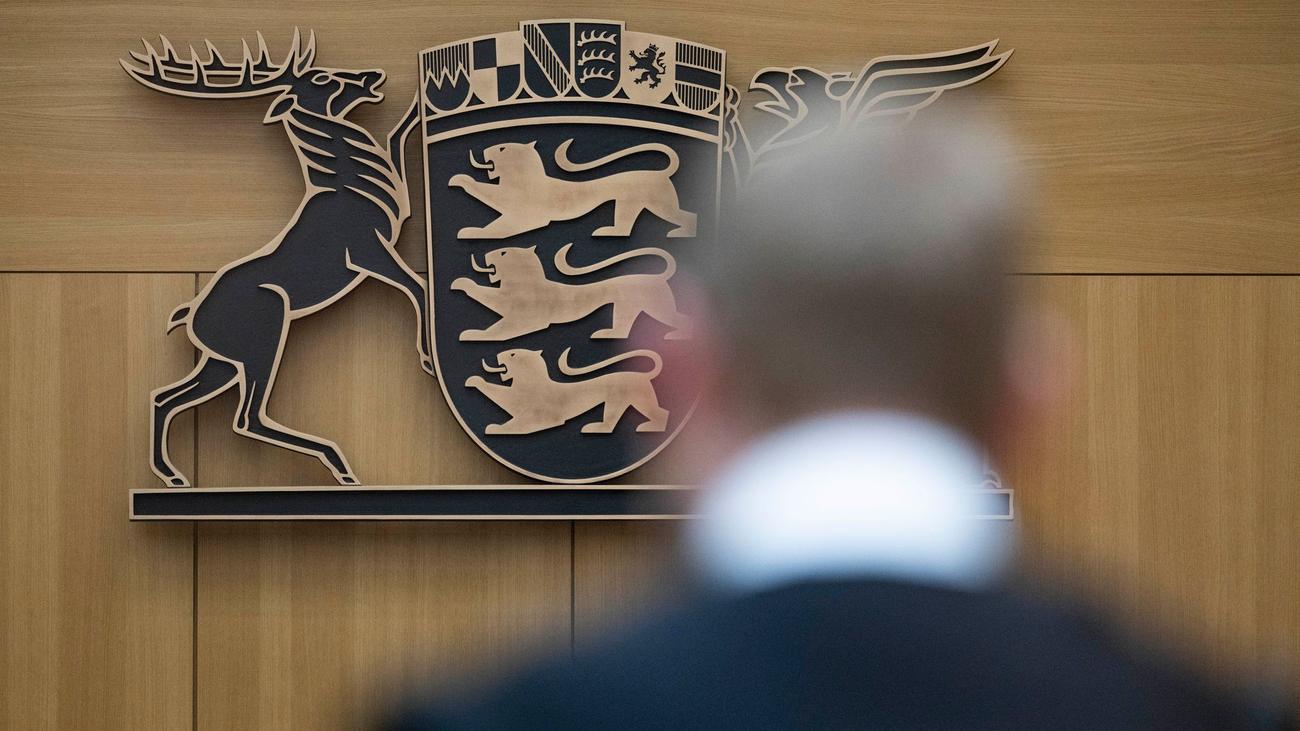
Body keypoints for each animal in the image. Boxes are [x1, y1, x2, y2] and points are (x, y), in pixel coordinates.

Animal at [448, 139, 697, 239]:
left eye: (501, 148)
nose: (485, 151)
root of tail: (660, 173)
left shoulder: (527, 217)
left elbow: (496, 227)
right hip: (628, 205)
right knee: (625, 227)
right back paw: (609, 232)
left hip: (658, 205)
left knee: (688, 216)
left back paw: (680, 232)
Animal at [451, 243, 689, 342]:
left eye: (502, 252)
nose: (486, 254)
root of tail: (658, 277)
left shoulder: (525, 320)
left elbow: (497, 329)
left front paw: (475, 334)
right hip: (625, 308)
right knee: (622, 328)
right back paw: (607, 334)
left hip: (657, 308)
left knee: (685, 320)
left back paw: (677, 335)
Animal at [466, 348, 668, 435]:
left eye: (512, 354)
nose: (498, 354)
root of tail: (642, 375)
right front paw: (474, 380)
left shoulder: (539, 416)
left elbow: (515, 424)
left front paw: (498, 428)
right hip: (616, 402)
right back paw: (596, 428)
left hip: (638, 399)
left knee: (661, 413)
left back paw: (651, 427)